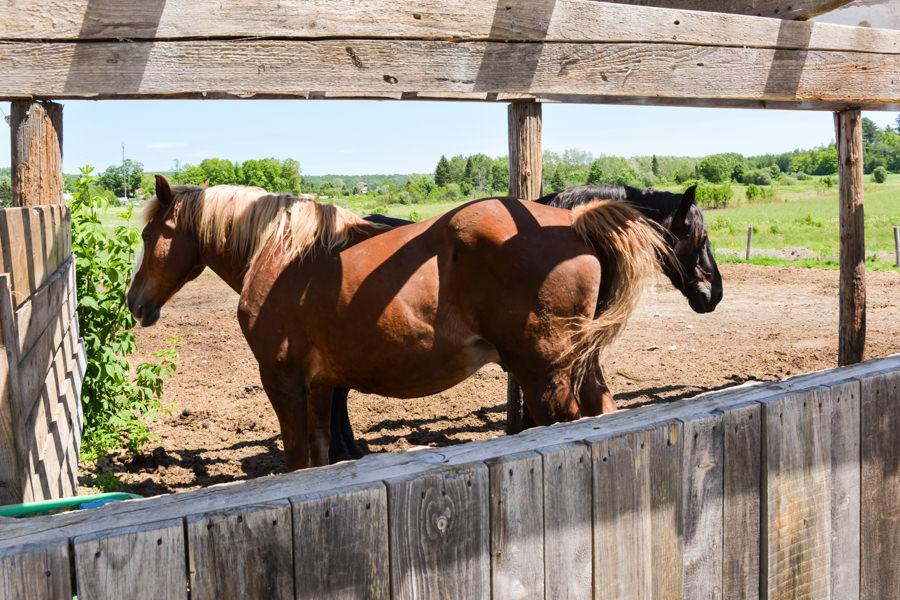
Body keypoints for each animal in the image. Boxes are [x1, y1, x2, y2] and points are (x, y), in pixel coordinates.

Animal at [132, 176, 668, 472]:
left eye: (148, 234)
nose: (134, 302)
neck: (282, 256)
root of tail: (574, 223)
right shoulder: (320, 386)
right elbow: (321, 456)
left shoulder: (282, 380)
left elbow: (298, 458)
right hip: (581, 364)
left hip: (545, 375)